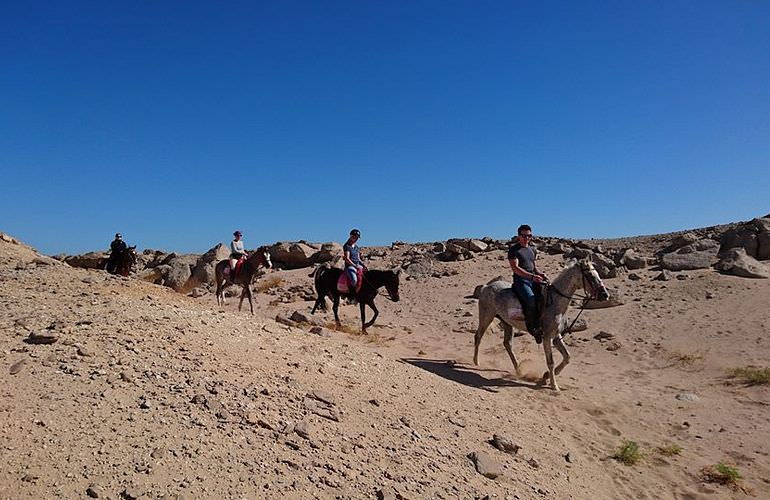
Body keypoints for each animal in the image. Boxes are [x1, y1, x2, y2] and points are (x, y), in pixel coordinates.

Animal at [474, 260, 608, 392]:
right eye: (590, 275)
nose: (605, 295)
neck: (555, 303)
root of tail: (486, 287)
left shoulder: (556, 336)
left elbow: (567, 357)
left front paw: (546, 376)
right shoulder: (547, 338)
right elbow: (551, 362)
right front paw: (554, 385)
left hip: (507, 323)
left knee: (508, 344)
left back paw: (518, 369)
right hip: (486, 316)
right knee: (478, 336)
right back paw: (476, 362)